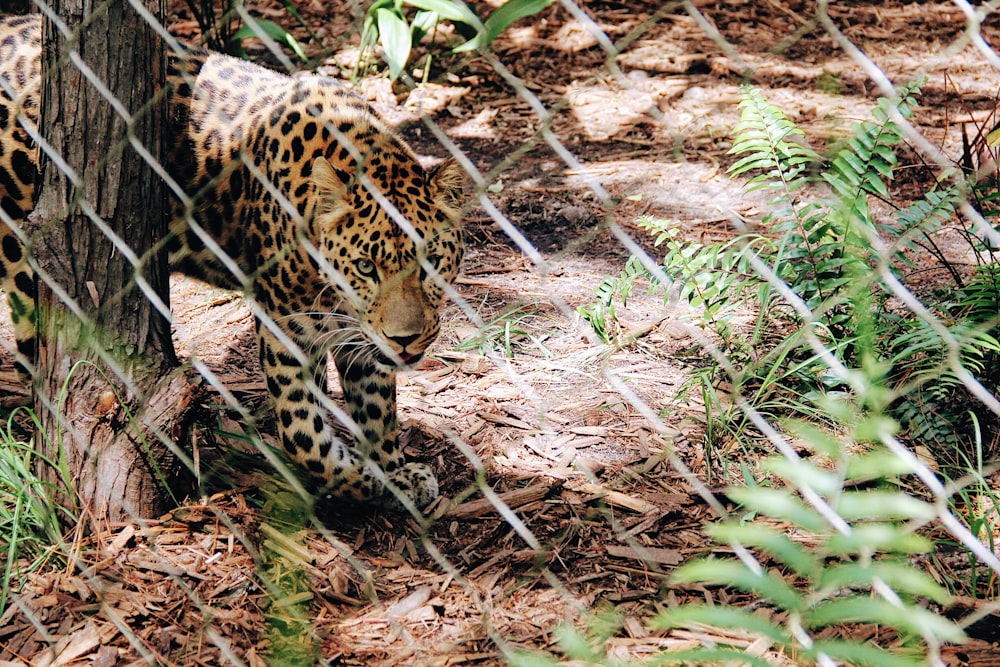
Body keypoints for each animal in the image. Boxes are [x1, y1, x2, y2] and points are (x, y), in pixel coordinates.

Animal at [0, 14, 464, 512]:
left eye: (431, 263)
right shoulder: (287, 326)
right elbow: (304, 435)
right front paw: (359, 481)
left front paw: (395, 473)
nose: (406, 341)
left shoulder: (361, 334)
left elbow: (377, 407)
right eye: (365, 268)